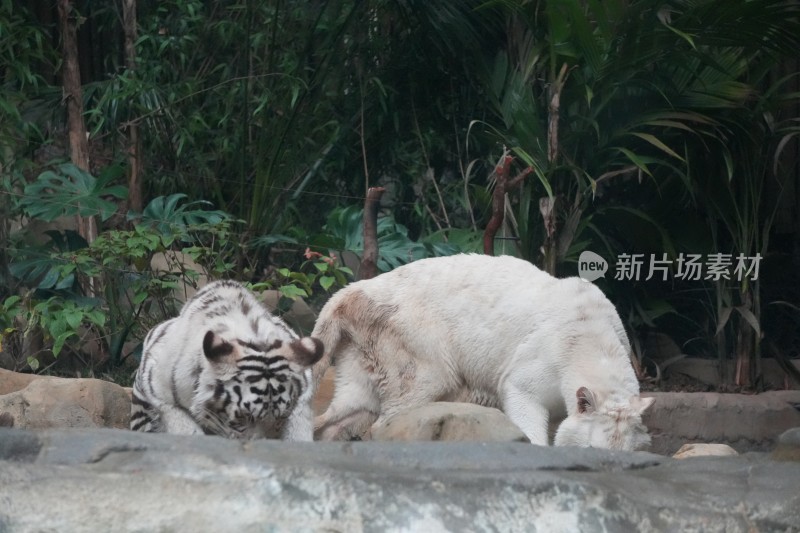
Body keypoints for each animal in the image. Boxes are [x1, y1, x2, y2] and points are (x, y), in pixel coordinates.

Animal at [310, 252, 652, 448]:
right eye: (593, 449)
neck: (592, 336)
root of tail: (349, 292)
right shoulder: (540, 358)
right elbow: (524, 399)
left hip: (365, 347)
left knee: (352, 404)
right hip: (411, 335)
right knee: (413, 392)